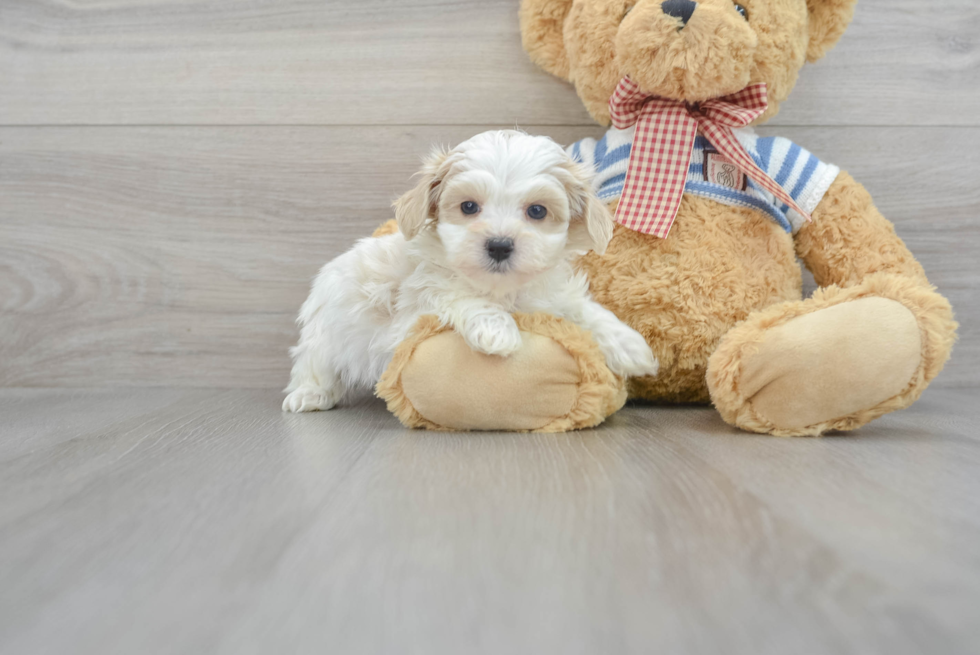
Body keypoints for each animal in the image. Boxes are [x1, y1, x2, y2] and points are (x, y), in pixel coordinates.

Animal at [284, 130, 660, 412]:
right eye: (468, 206)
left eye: (537, 211)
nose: (499, 245)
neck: (502, 289)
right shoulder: (418, 305)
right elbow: (459, 296)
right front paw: (498, 331)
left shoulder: (551, 295)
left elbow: (584, 310)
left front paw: (629, 346)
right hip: (325, 331)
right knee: (312, 364)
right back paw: (308, 395)